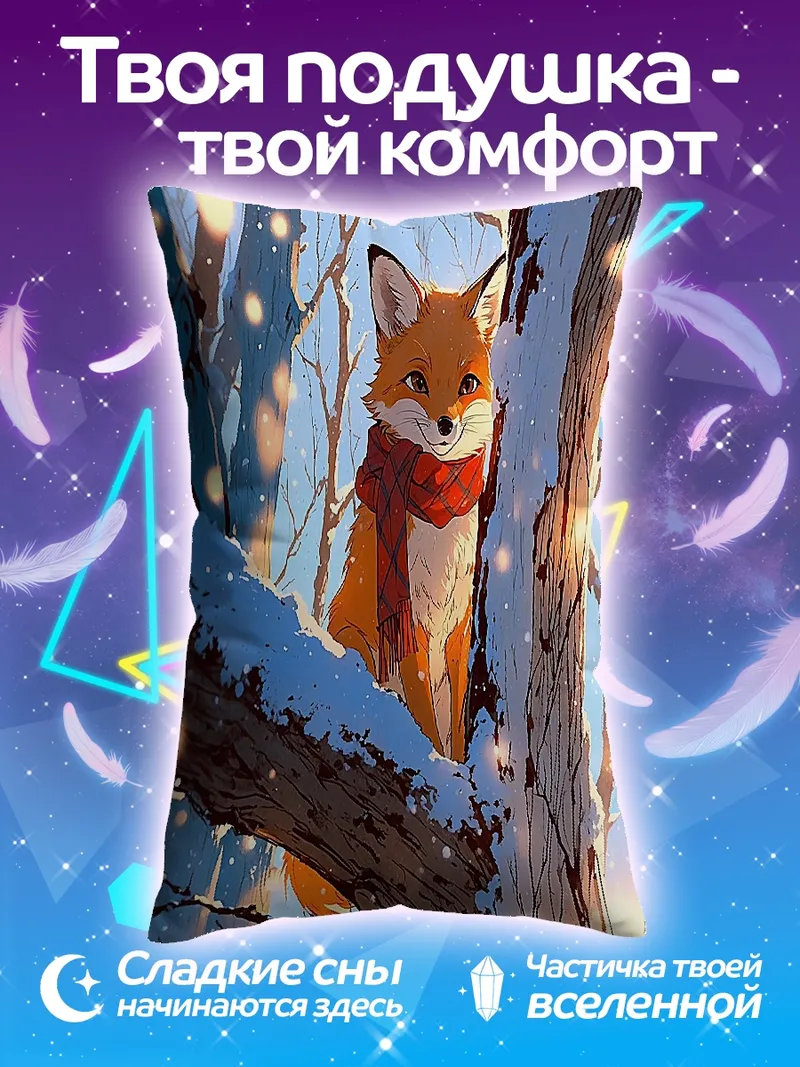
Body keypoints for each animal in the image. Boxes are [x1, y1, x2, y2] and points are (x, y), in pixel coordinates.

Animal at [284, 244, 506, 917]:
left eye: (468, 385)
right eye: (417, 381)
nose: (445, 427)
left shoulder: (456, 629)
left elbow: (454, 724)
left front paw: (461, 773)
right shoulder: (407, 624)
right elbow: (428, 729)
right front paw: (444, 784)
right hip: (360, 644)